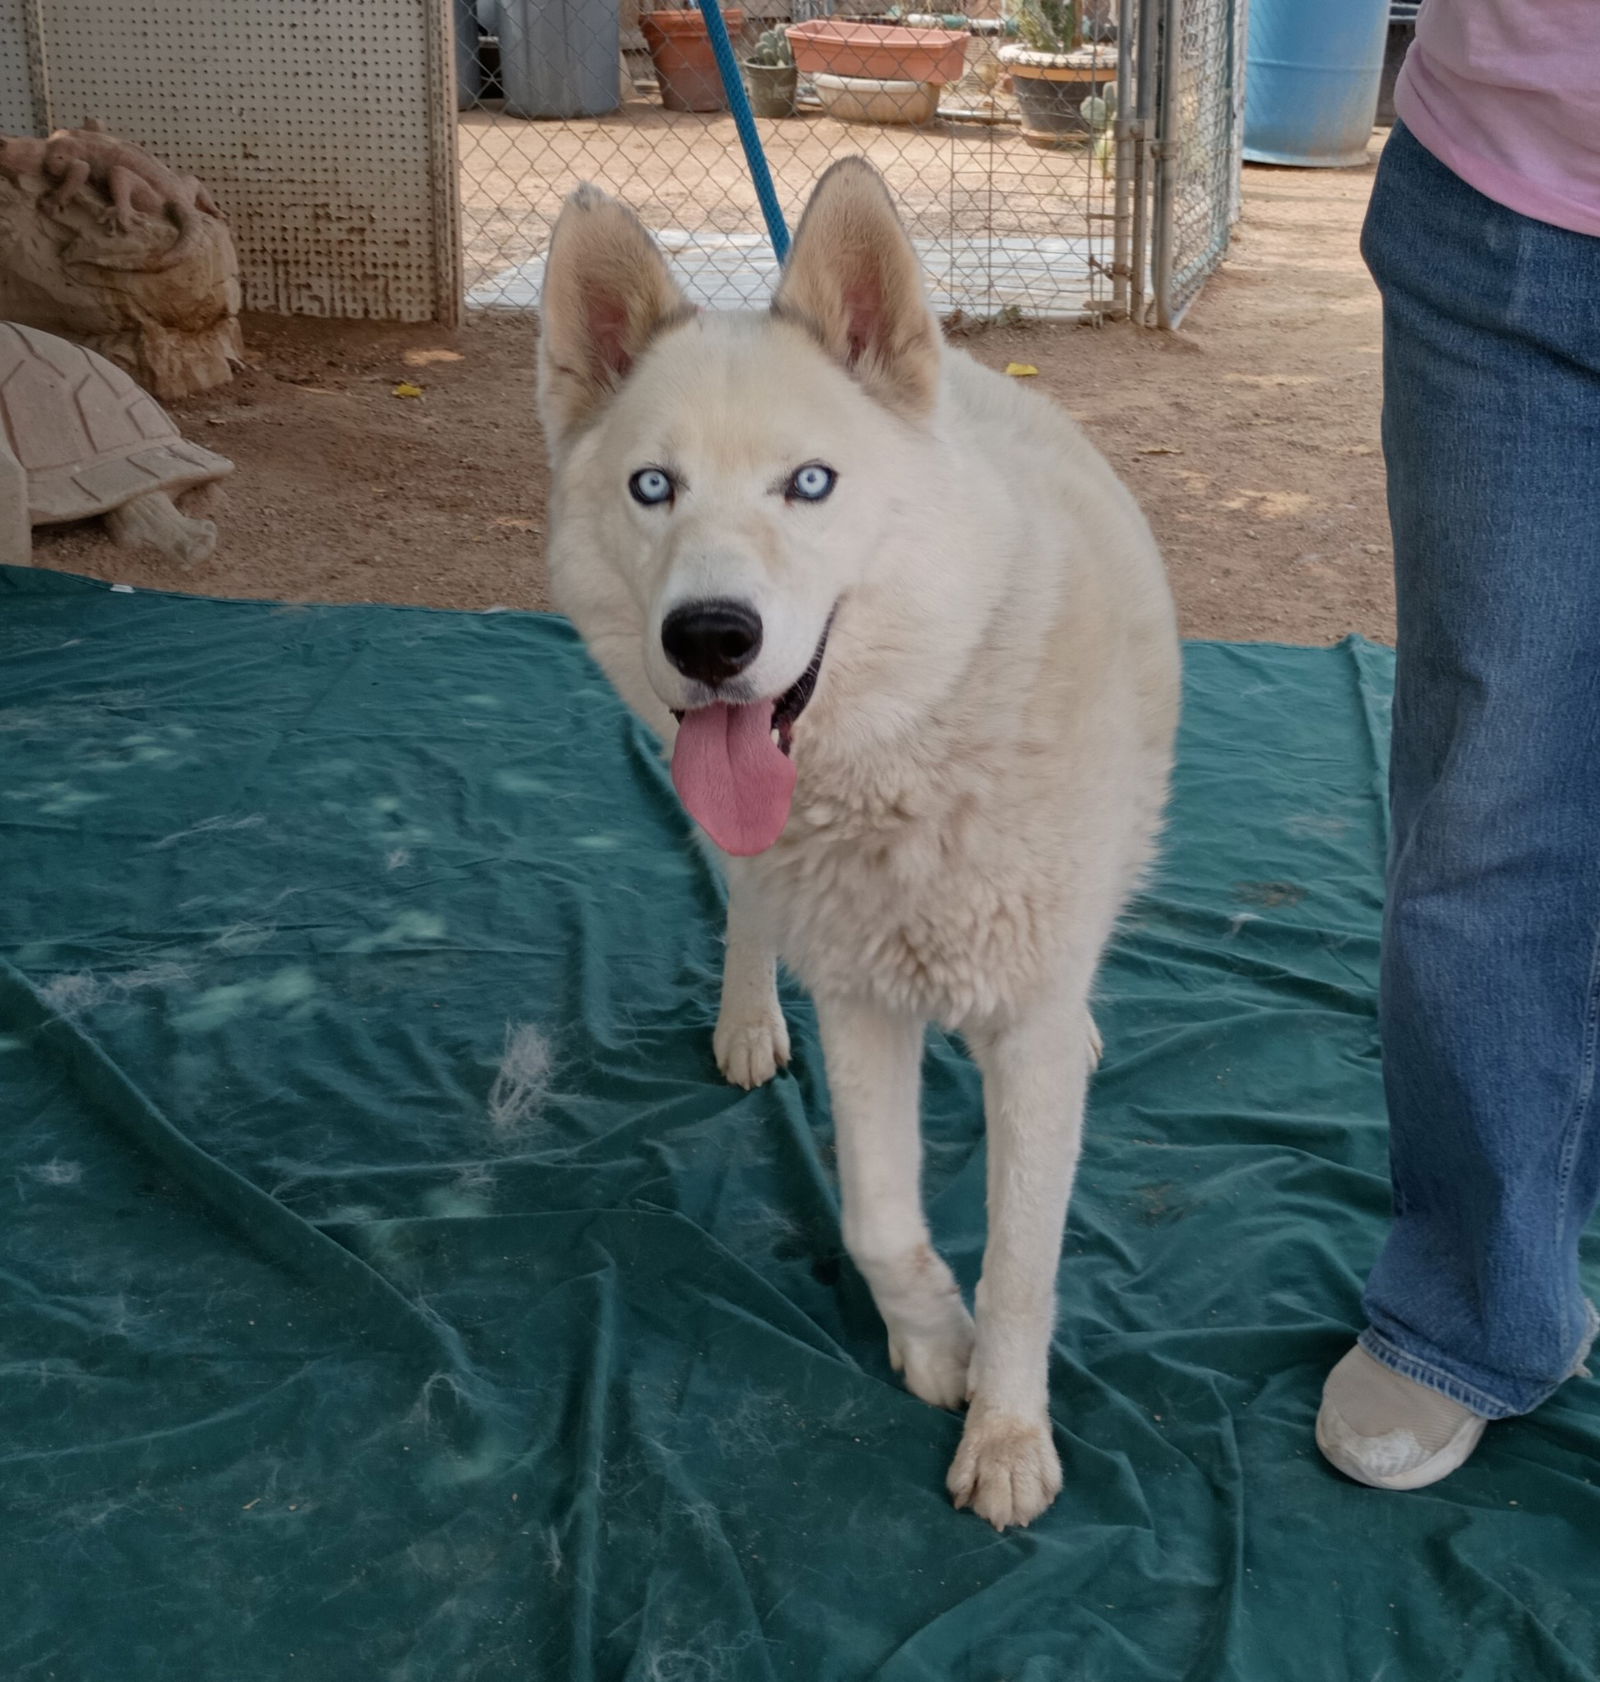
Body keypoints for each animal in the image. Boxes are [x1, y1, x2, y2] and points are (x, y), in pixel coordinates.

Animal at [538, 160, 1177, 1527]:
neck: (913, 749)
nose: (709, 636)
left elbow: (1024, 1259)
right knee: (746, 909)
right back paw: (744, 1022)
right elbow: (880, 1219)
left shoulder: (1022, 1030)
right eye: (653, 488)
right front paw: (936, 1343)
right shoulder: (861, 1002)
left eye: (811, 483)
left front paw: (1005, 1432)